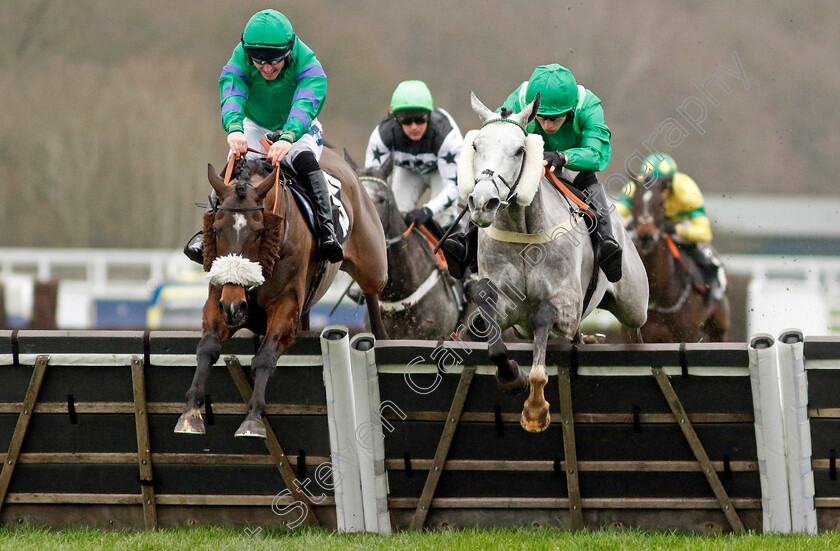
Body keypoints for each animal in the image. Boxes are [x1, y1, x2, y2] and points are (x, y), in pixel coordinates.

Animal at [176, 148, 390, 440]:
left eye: (259, 231)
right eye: (217, 228)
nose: (233, 307)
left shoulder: (285, 306)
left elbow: (265, 357)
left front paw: (253, 418)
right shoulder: (219, 299)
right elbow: (207, 347)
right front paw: (191, 412)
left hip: (373, 267)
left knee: (373, 298)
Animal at [460, 91, 648, 436]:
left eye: (520, 150)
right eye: (476, 145)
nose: (482, 203)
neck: (524, 233)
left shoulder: (567, 305)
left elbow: (544, 315)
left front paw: (535, 408)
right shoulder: (508, 308)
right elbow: (487, 308)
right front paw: (511, 377)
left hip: (634, 303)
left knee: (635, 325)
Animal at [624, 179, 728, 342]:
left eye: (661, 203)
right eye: (633, 201)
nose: (645, 235)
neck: (657, 290)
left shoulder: (686, 335)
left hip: (719, 328)